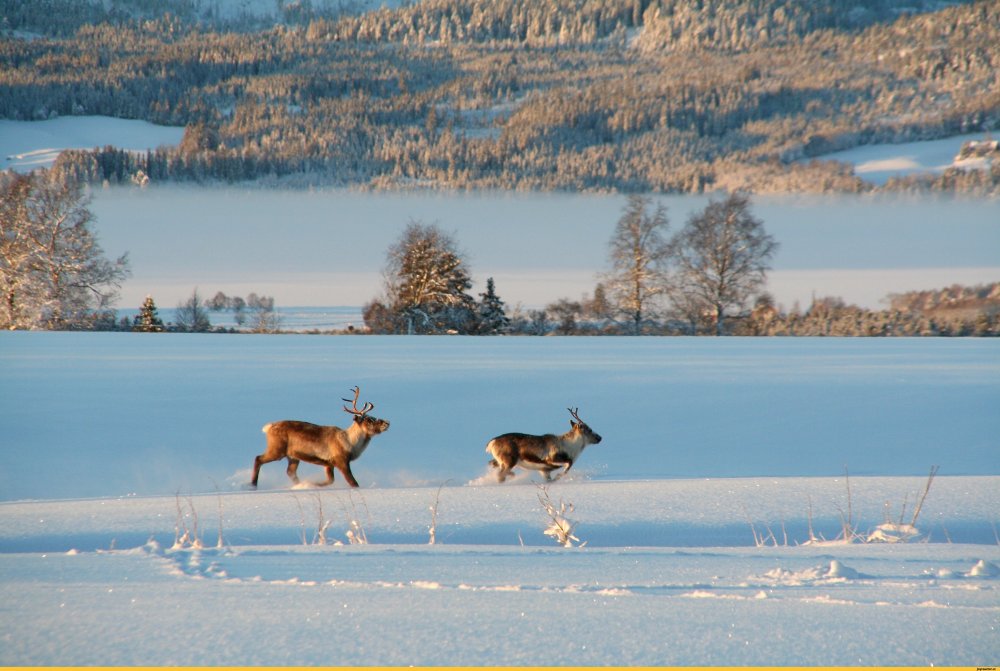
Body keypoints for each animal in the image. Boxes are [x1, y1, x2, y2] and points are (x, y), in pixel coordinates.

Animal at [250, 386, 390, 490]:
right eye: (369, 420)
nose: (387, 422)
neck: (350, 443)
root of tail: (267, 427)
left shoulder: (328, 463)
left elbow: (330, 481)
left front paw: (312, 484)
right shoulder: (341, 460)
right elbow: (353, 483)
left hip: (293, 456)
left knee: (290, 472)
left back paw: (300, 485)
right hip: (277, 449)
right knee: (258, 458)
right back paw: (252, 485)